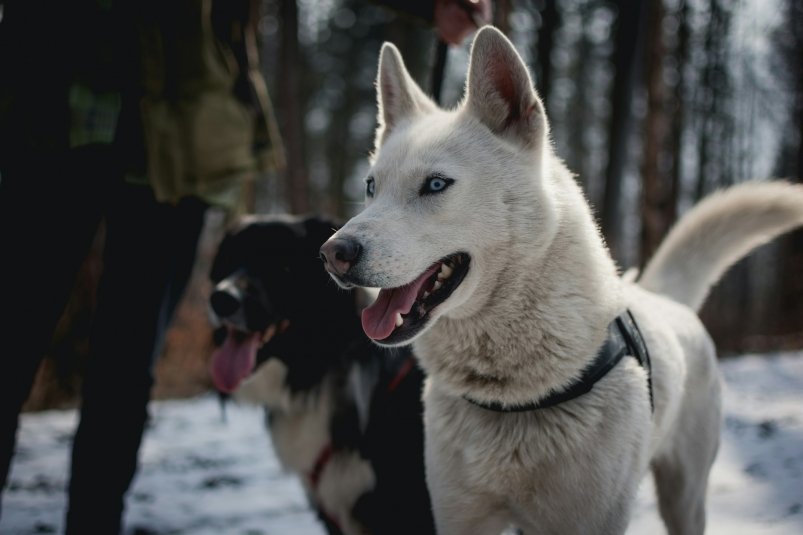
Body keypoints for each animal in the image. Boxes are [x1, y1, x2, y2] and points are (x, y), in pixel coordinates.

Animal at [320, 27, 803, 535]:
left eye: (435, 185)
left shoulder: (589, 519)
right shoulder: (459, 516)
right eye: (371, 187)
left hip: (684, 495)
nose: (334, 254)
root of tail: (665, 296)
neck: (511, 393)